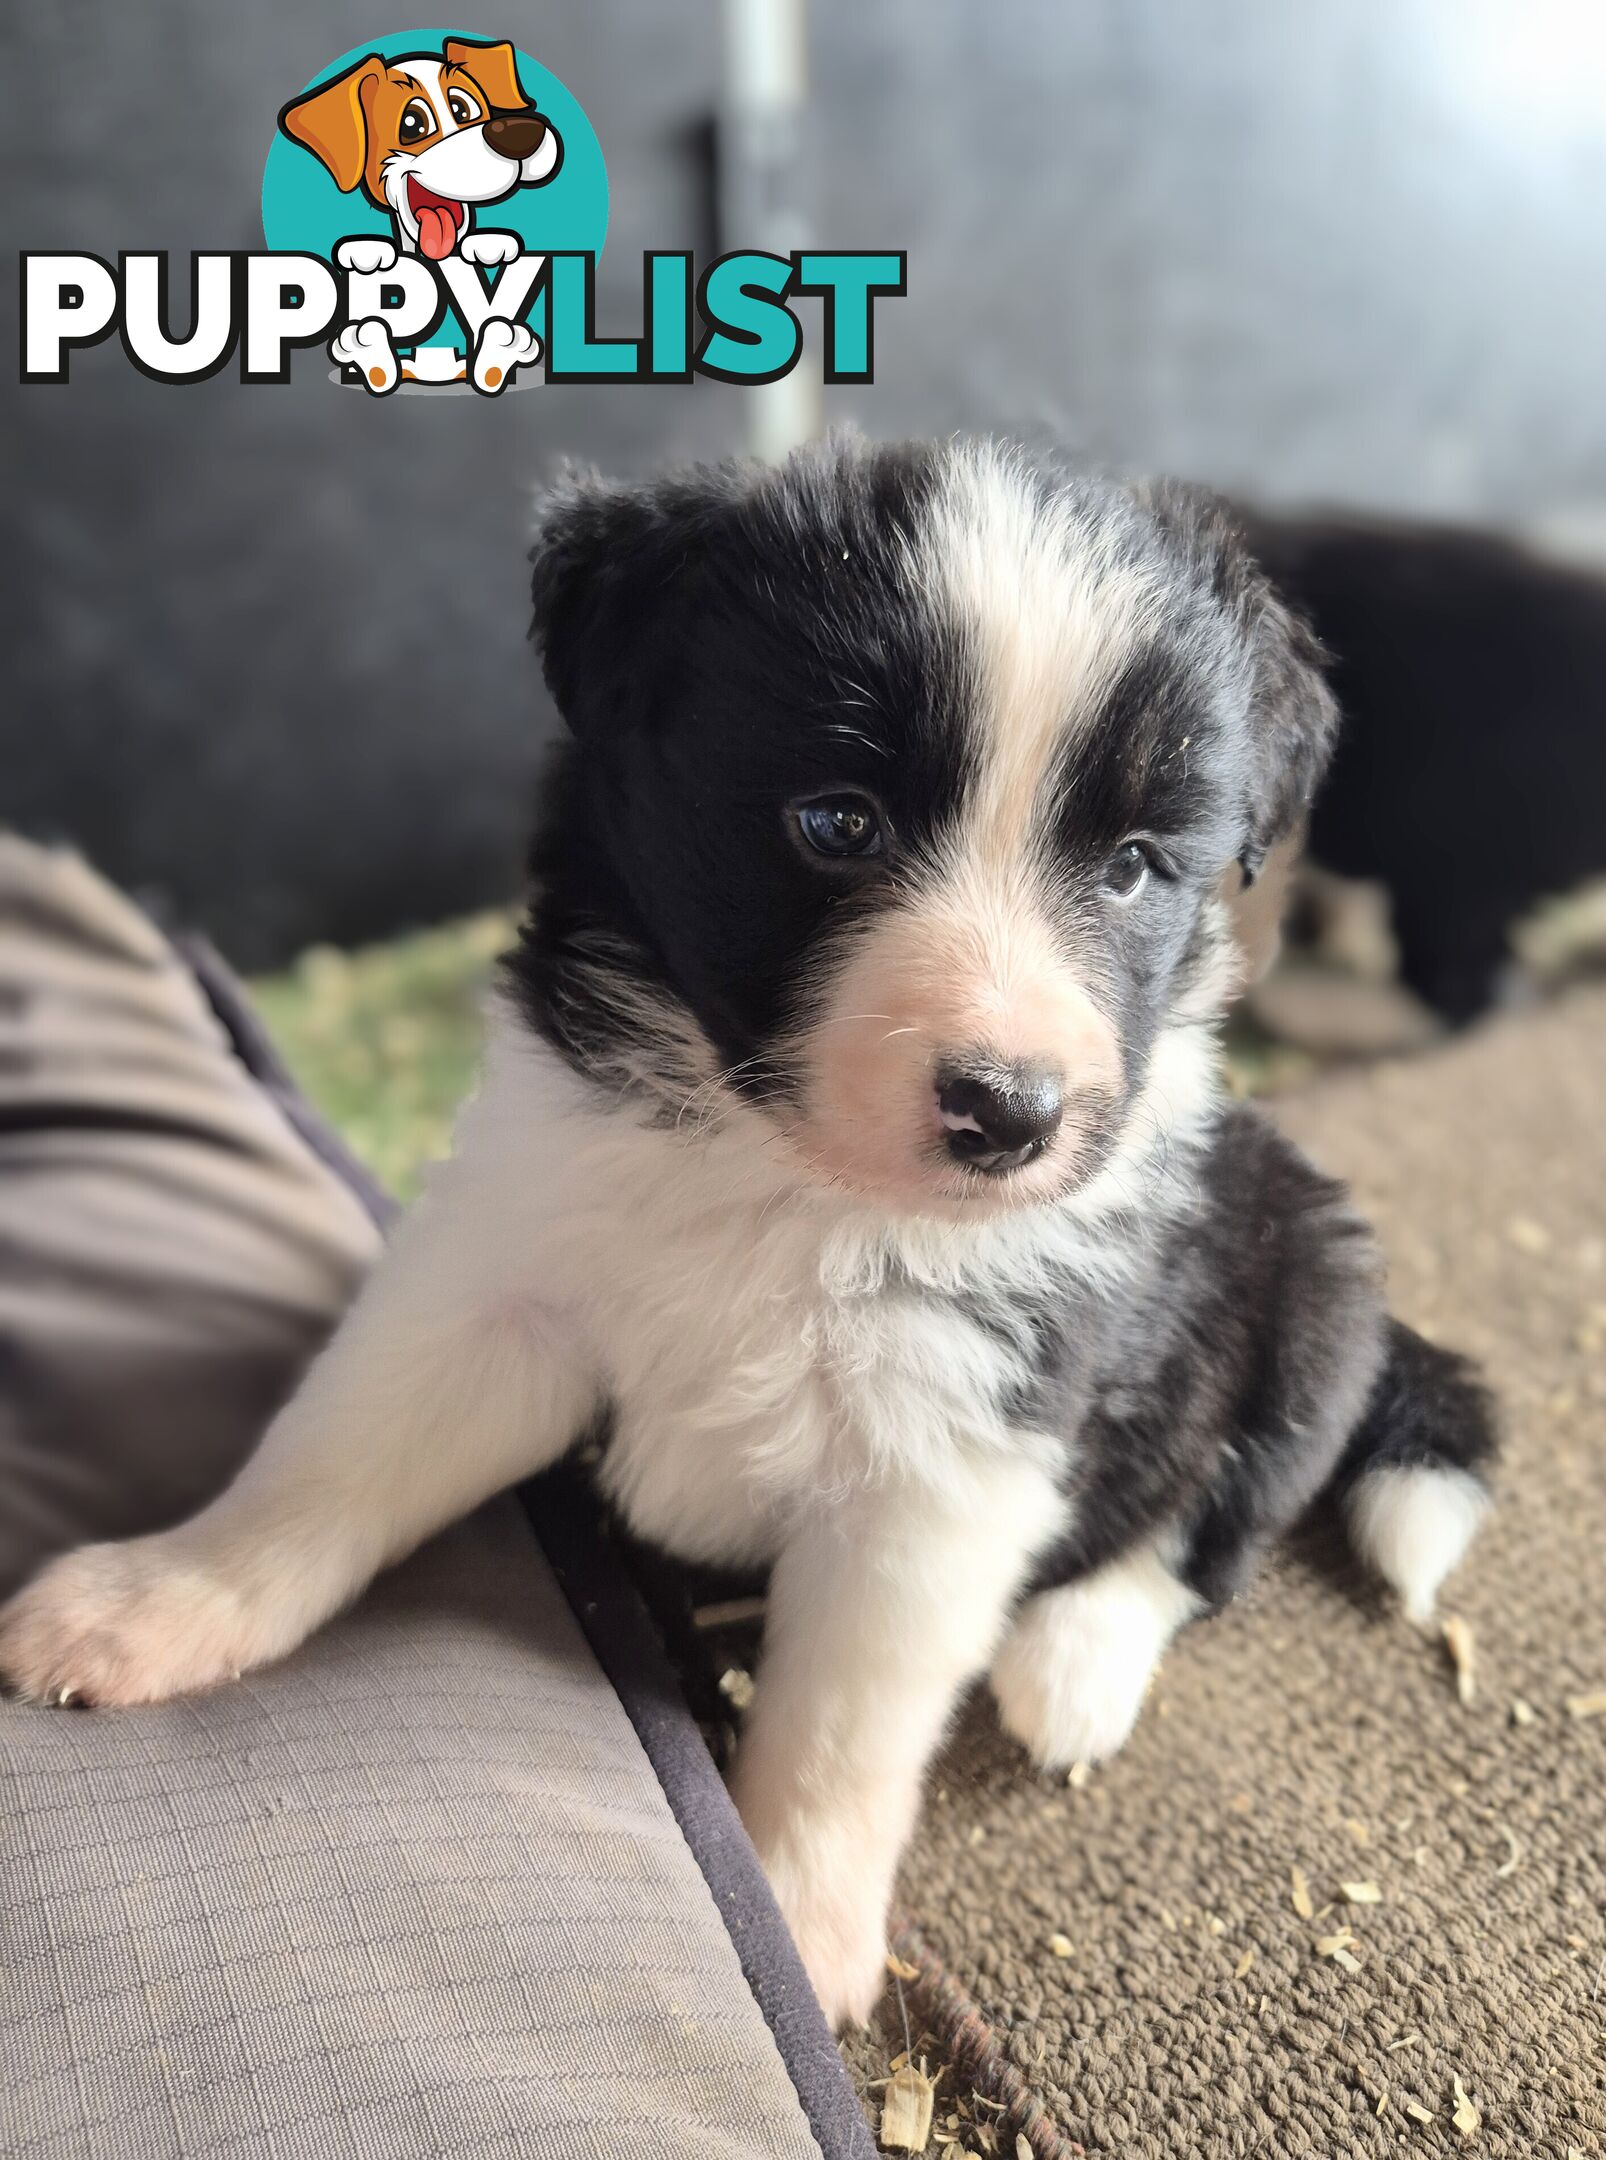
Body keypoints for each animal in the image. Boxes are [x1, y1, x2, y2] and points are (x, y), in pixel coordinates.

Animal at [0, 434, 1493, 2021]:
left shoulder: (953, 1460)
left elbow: (842, 1730)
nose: (1011, 1114)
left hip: (1313, 1298)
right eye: (835, 821)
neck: (791, 1184)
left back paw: (1074, 1664)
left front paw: (796, 1928)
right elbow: (324, 1469)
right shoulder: (498, 1274)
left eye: (1138, 864)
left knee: (1209, 1531)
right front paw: (152, 1605)